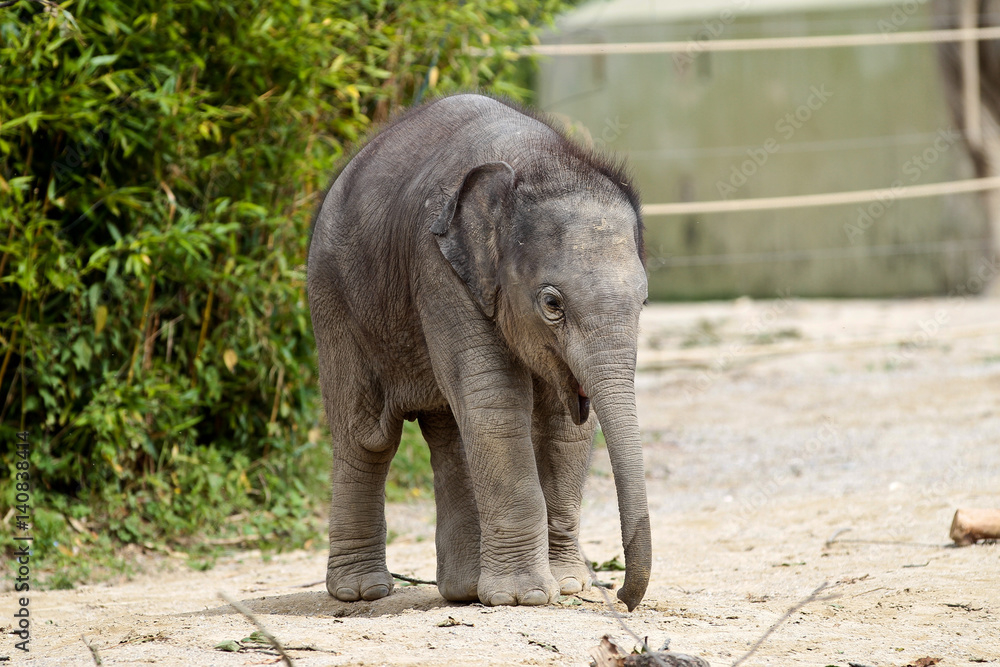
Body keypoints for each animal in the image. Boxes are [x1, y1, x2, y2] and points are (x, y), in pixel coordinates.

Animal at [307, 92, 651, 611]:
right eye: (552, 304)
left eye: (644, 301)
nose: (622, 599)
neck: (537, 161)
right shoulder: (438, 268)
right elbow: (497, 401)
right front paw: (525, 598)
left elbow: (565, 425)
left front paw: (568, 585)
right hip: (334, 299)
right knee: (366, 437)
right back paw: (361, 592)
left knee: (449, 430)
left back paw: (464, 592)